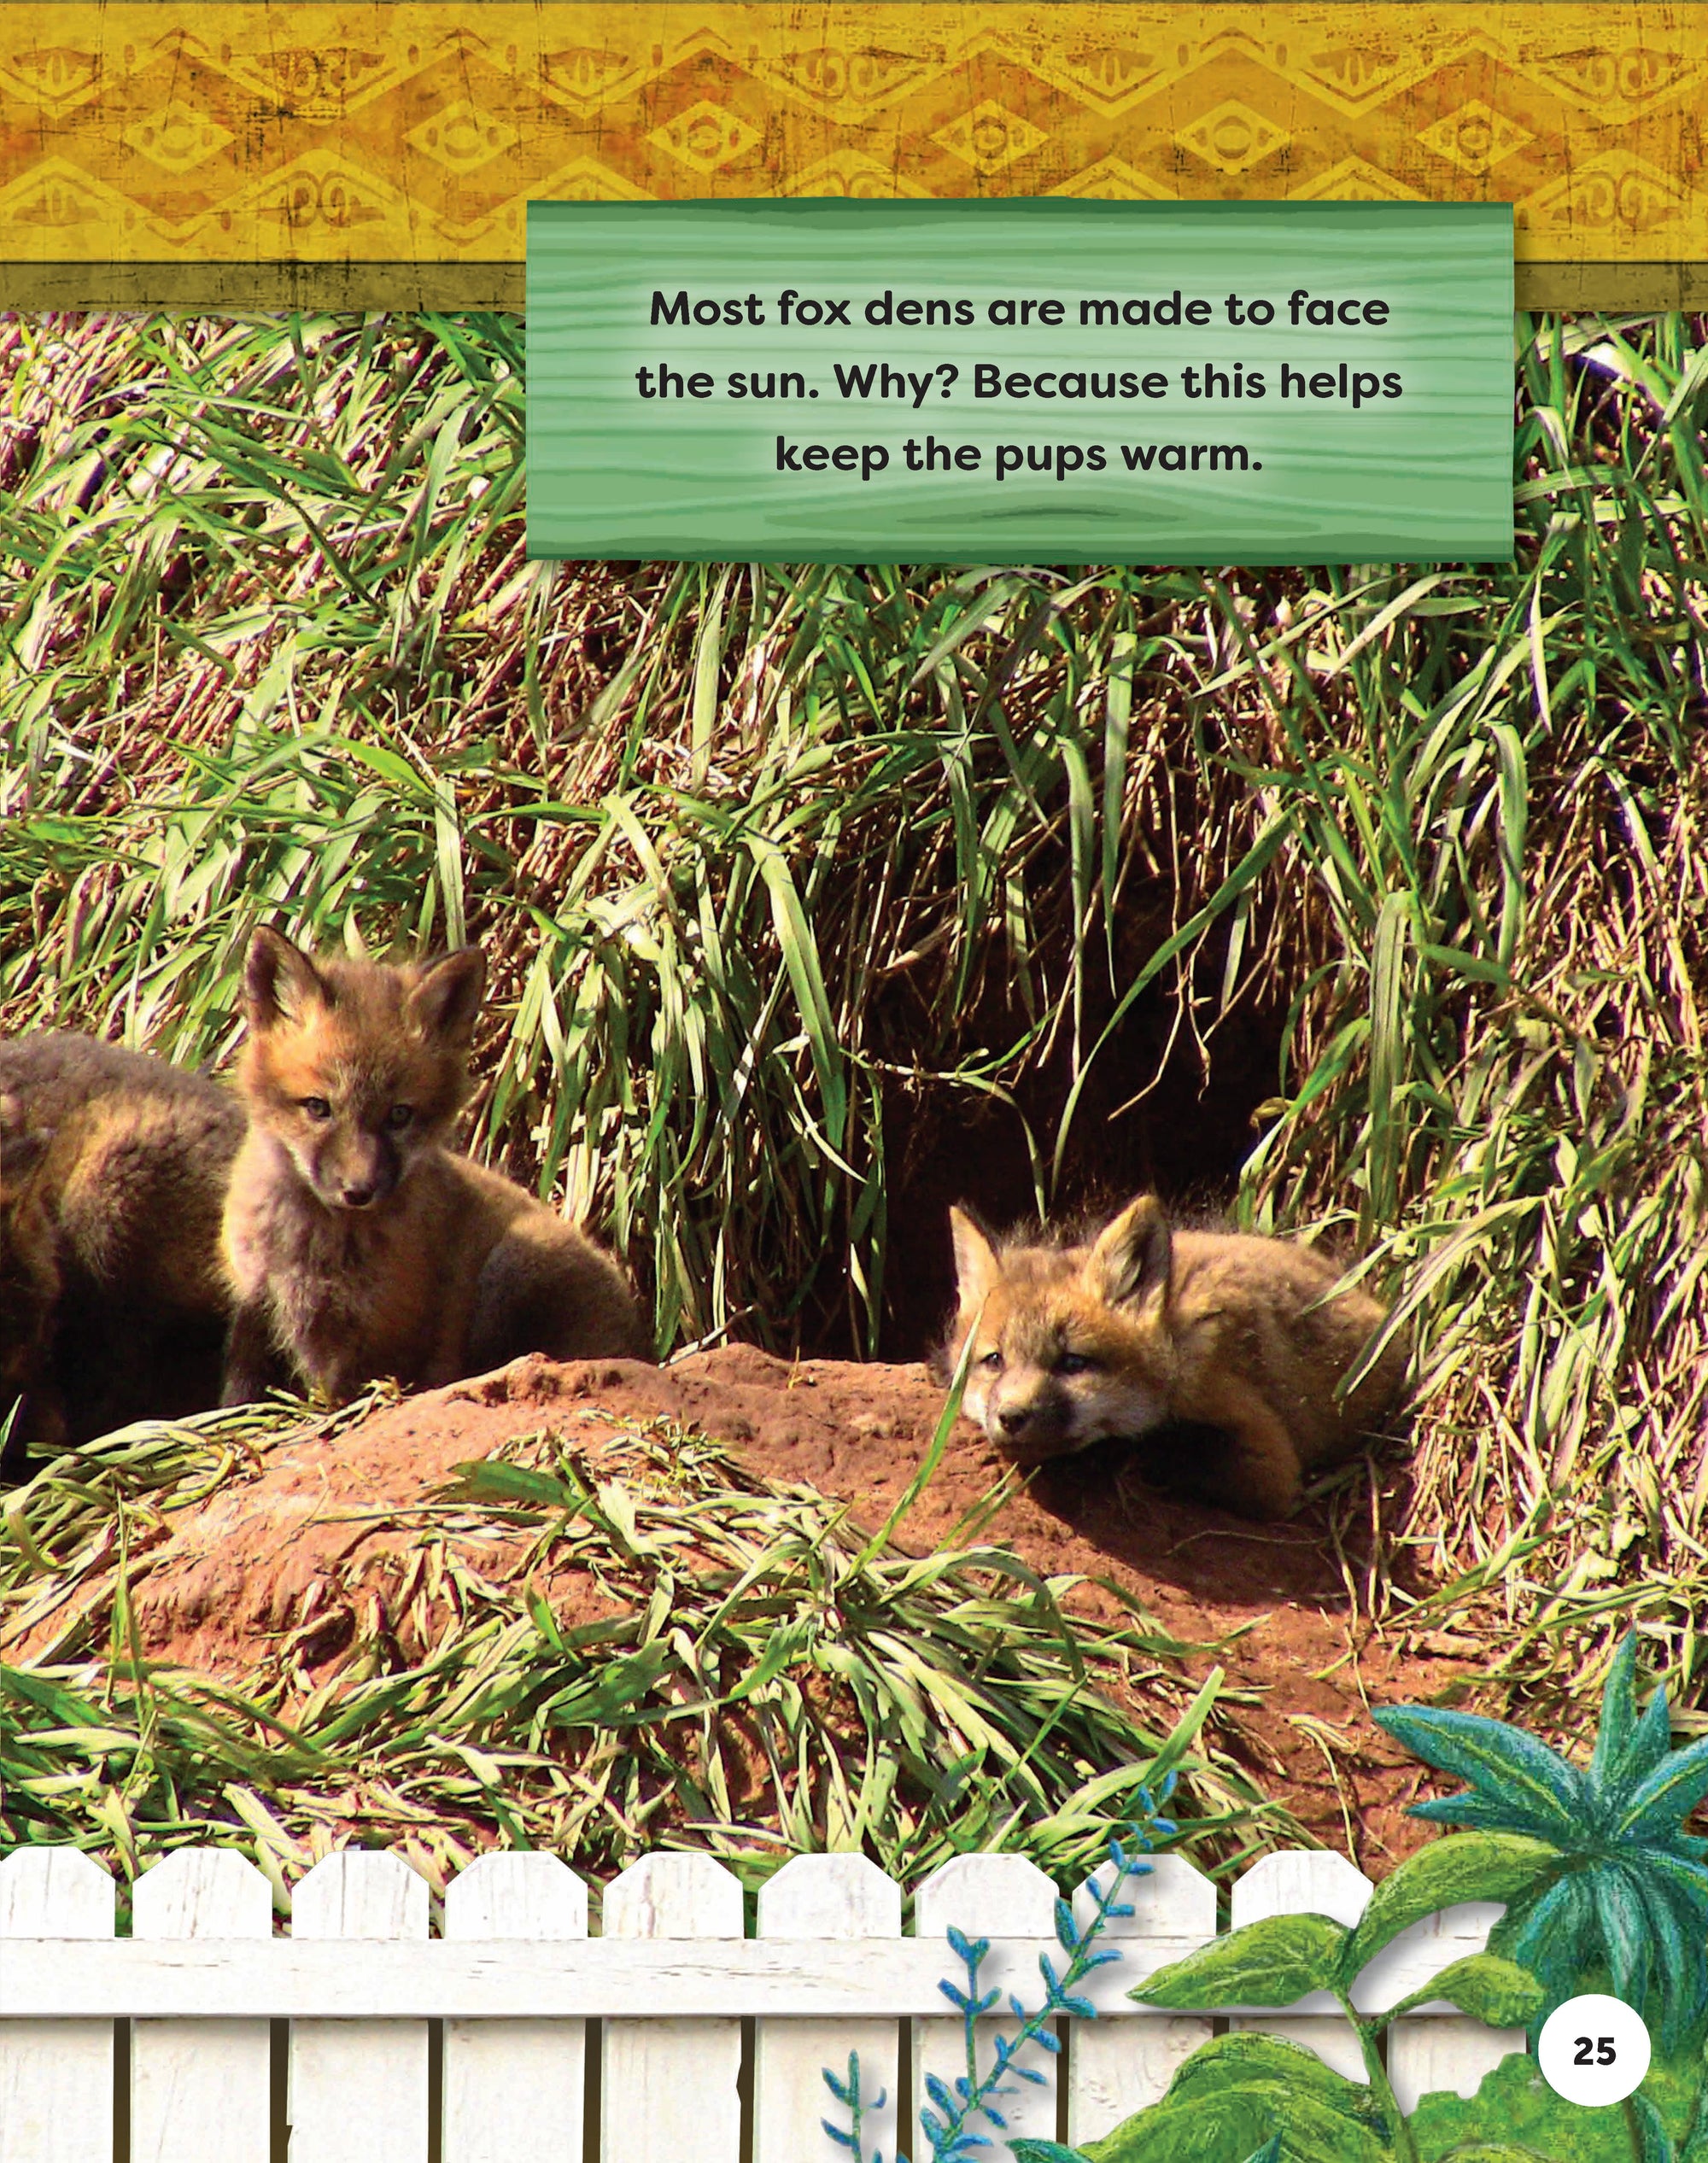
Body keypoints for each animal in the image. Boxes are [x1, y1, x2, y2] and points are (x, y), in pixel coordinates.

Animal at [220, 926, 649, 1408]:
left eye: (399, 1115)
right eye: (318, 1107)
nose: (359, 1191)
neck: (313, 1245)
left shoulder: (378, 1338)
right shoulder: (255, 1304)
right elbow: (238, 1397)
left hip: (508, 1271)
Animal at [935, 1194, 1408, 1520]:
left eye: (1072, 1363)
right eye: (994, 1360)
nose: (1012, 1417)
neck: (1178, 1347)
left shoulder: (1268, 1465)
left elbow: (1153, 1447)